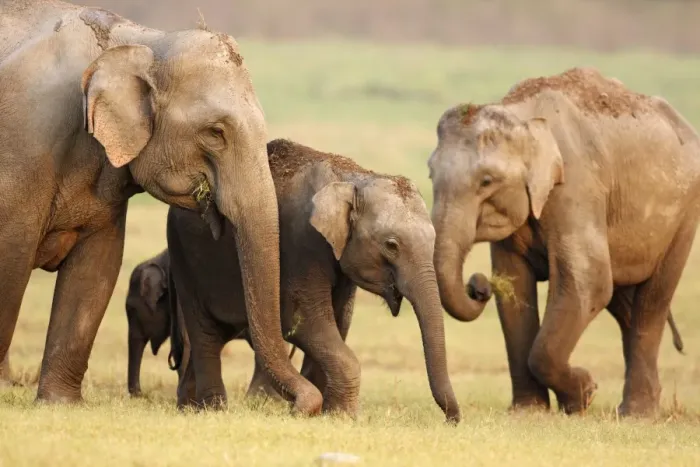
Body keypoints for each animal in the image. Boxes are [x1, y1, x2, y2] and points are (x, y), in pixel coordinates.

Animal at [0, 0, 321, 414]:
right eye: (215, 133)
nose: (305, 406)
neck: (138, 41)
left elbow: (96, 270)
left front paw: (60, 405)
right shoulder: (25, 144)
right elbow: (11, 257)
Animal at [166, 138, 461, 423]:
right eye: (391, 245)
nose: (452, 420)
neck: (352, 178)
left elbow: (339, 320)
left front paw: (330, 413)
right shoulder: (301, 243)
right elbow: (303, 321)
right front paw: (342, 416)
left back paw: (188, 407)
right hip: (182, 254)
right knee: (205, 334)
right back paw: (212, 410)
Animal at [428, 67, 700, 417]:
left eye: (486, 181)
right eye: (430, 175)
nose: (478, 285)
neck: (522, 115)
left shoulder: (577, 185)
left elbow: (588, 283)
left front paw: (584, 395)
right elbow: (514, 287)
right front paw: (529, 412)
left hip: (685, 215)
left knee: (652, 301)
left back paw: (637, 415)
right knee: (625, 305)